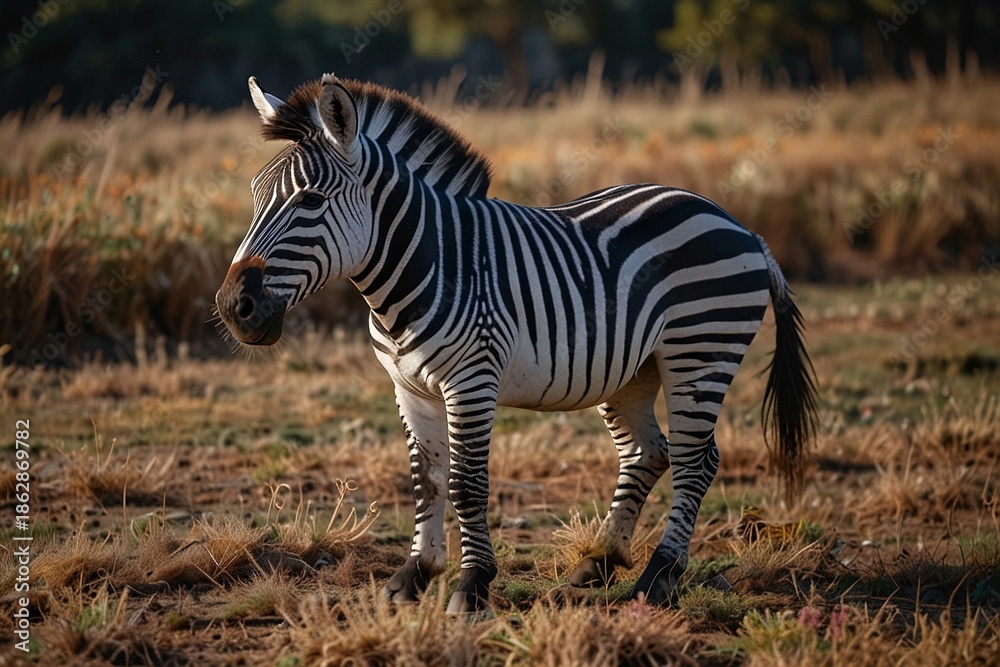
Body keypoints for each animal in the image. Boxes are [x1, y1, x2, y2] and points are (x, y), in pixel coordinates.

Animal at [215, 73, 818, 613]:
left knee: (696, 460)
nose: (231, 306)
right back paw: (598, 562)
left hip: (701, 350)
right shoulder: (409, 387)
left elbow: (466, 483)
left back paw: (657, 580)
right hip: (634, 369)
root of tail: (733, 220)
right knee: (649, 452)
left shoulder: (472, 381)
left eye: (311, 200)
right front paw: (412, 577)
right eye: (255, 196)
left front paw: (471, 586)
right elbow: (426, 480)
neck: (426, 265)